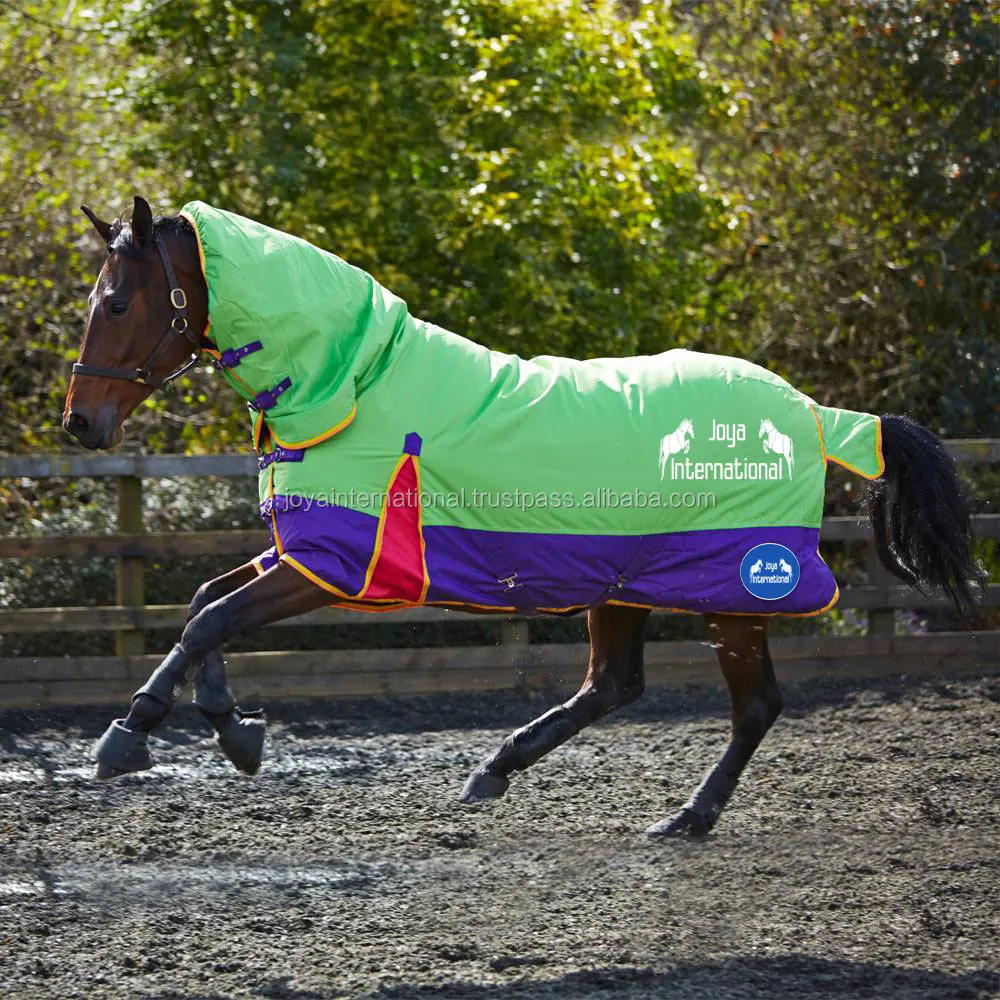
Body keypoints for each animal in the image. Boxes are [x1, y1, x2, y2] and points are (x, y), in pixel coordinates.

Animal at [63, 196, 983, 838]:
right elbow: (201, 607)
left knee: (752, 706)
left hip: (734, 592)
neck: (351, 386)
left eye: (117, 304)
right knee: (614, 684)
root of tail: (816, 412)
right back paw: (495, 770)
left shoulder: (329, 569)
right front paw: (230, 727)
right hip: (622, 583)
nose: (80, 424)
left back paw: (687, 817)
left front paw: (132, 735)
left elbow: (210, 617)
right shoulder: (305, 553)